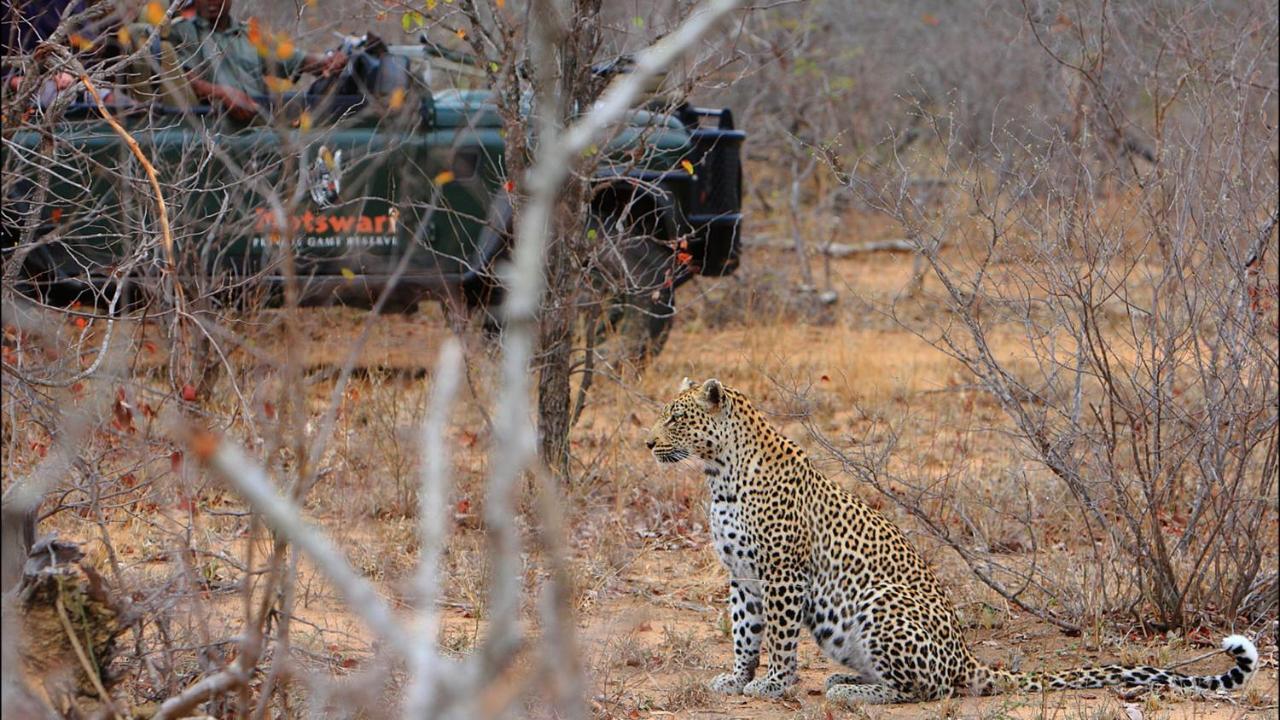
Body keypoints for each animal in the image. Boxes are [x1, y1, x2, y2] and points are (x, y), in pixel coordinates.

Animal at [645, 379, 1254, 702]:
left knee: (923, 689)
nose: (648, 442)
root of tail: (967, 657)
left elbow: (777, 639)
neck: (719, 474)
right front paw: (736, 679)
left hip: (880, 602)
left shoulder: (781, 574)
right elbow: (744, 635)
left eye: (675, 418)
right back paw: (846, 677)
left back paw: (852, 691)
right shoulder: (742, 576)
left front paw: (773, 686)